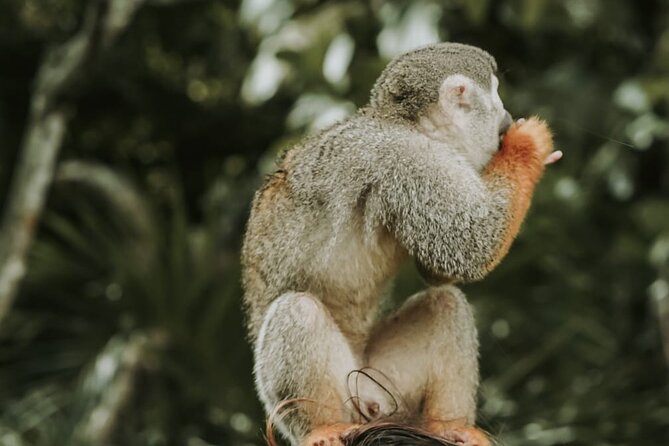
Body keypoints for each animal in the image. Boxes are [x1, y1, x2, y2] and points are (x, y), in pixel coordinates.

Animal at [241, 42, 560, 446]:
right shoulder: (409, 159)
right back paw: (323, 427)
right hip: (311, 404)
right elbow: (469, 244)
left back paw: (446, 425)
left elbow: (442, 263)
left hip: (387, 386)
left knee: (445, 303)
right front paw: (528, 143)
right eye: (496, 95)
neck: (407, 125)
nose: (505, 117)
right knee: (296, 309)